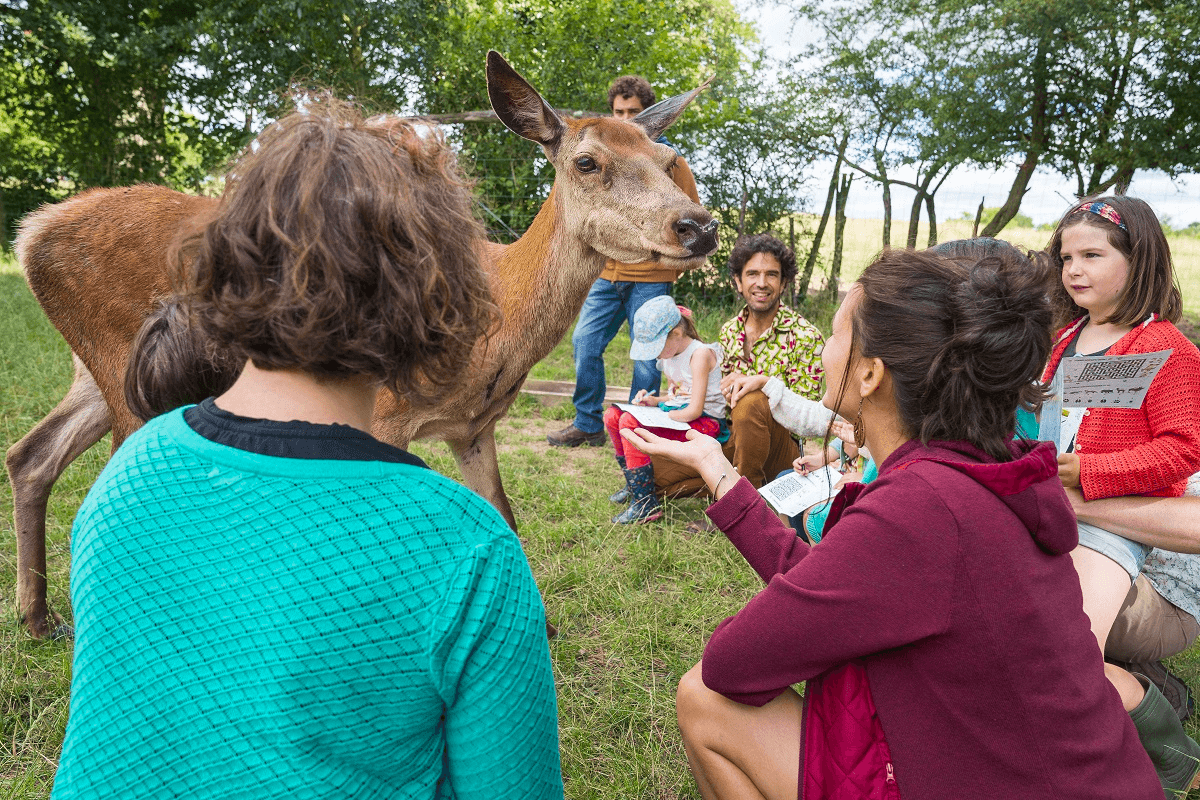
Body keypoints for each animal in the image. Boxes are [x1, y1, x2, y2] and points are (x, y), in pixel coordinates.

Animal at [7, 51, 710, 638]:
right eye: (587, 162)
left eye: (664, 158)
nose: (697, 224)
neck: (496, 324)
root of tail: (30, 234)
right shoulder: (386, 414)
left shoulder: (474, 427)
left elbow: (506, 517)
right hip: (123, 362)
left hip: (100, 368)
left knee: (29, 454)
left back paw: (39, 620)